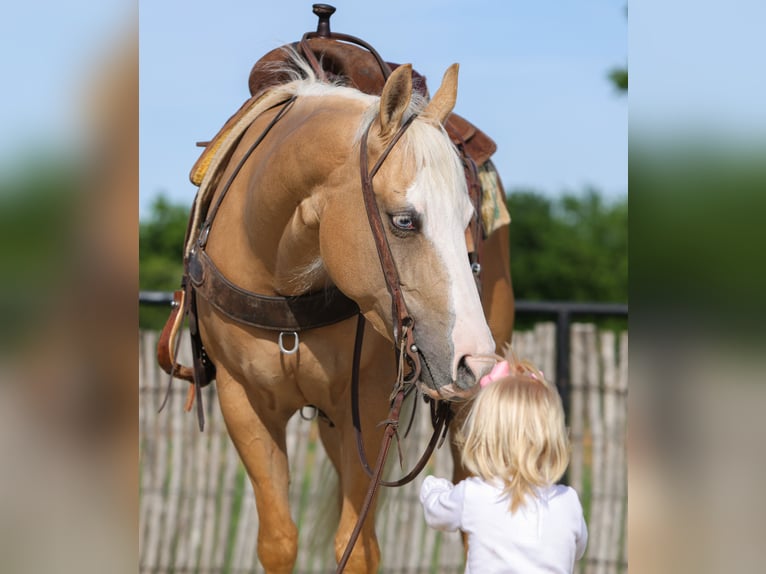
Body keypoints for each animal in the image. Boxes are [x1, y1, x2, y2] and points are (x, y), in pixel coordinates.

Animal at [171, 51, 514, 572]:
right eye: (404, 220)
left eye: (468, 220)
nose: (474, 361)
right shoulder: (243, 403)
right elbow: (278, 541)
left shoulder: (367, 405)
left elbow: (357, 546)